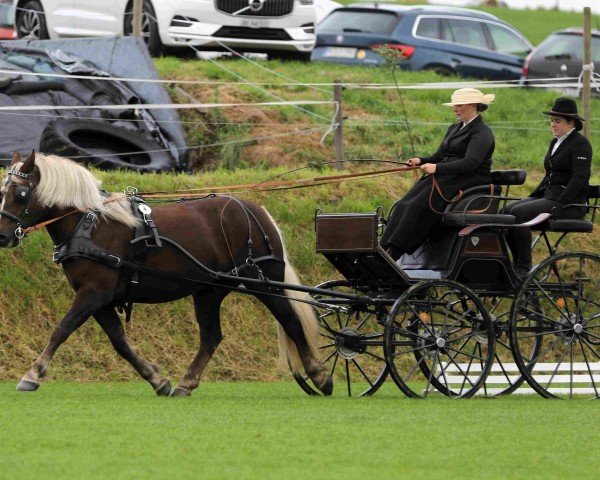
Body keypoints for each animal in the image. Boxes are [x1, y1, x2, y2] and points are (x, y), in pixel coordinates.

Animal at [0, 151, 332, 398]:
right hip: (209, 290)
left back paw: (319, 376)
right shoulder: (99, 297)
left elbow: (61, 329)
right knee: (211, 337)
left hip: (264, 283)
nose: (3, 236)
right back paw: (186, 383)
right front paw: (157, 380)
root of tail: (256, 211)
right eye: (3, 191)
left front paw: (32, 374)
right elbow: (119, 342)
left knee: (291, 322)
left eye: (22, 192)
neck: (89, 223)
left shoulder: (95, 291)